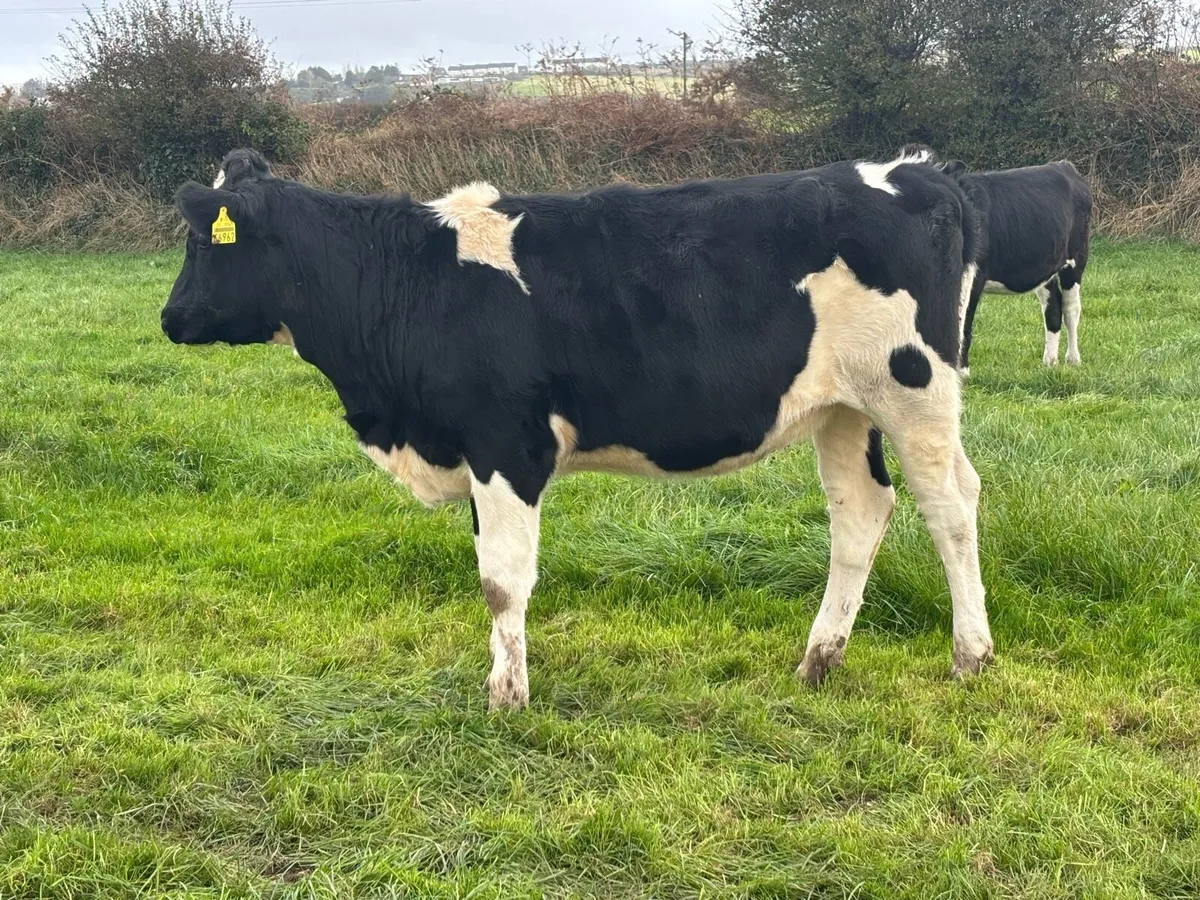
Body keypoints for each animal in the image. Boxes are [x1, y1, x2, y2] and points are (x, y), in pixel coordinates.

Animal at [161, 147, 994, 710]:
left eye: (202, 241)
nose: (170, 318)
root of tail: (922, 171)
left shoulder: (506, 445)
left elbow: (501, 580)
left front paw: (507, 697)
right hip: (843, 409)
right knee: (860, 513)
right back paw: (820, 661)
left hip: (916, 391)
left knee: (951, 507)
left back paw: (970, 655)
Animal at [945, 158, 1092, 371]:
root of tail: (1064, 165)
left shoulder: (973, 277)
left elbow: (962, 326)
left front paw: (961, 371)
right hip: (1045, 266)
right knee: (1053, 307)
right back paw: (1050, 361)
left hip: (1075, 260)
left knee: (1071, 309)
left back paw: (1073, 359)